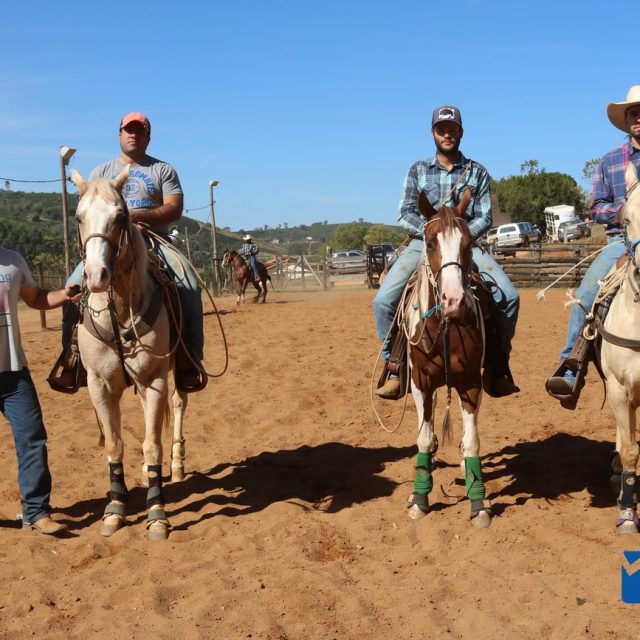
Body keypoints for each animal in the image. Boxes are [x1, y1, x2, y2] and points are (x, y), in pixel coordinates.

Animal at [71, 165, 188, 541]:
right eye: (78, 217)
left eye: (120, 216)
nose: (96, 275)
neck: (120, 308)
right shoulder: (99, 385)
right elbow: (114, 443)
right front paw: (115, 509)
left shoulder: (154, 378)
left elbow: (152, 443)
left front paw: (157, 512)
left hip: (177, 369)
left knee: (177, 404)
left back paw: (177, 465)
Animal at [404, 187, 493, 528]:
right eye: (430, 242)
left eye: (468, 243)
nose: (452, 300)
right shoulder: (421, 383)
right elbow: (424, 438)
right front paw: (419, 499)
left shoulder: (470, 383)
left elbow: (473, 440)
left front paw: (478, 502)